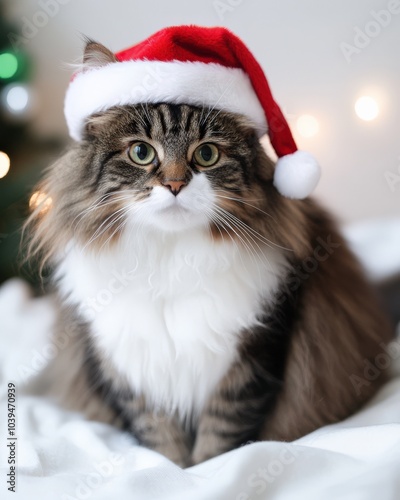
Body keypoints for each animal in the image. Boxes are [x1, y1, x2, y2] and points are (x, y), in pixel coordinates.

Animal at [25, 40, 394, 468]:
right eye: (141, 152)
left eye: (206, 155)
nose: (174, 184)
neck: (169, 257)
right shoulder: (129, 368)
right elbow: (160, 438)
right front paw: (174, 469)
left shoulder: (252, 357)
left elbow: (220, 439)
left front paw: (202, 471)